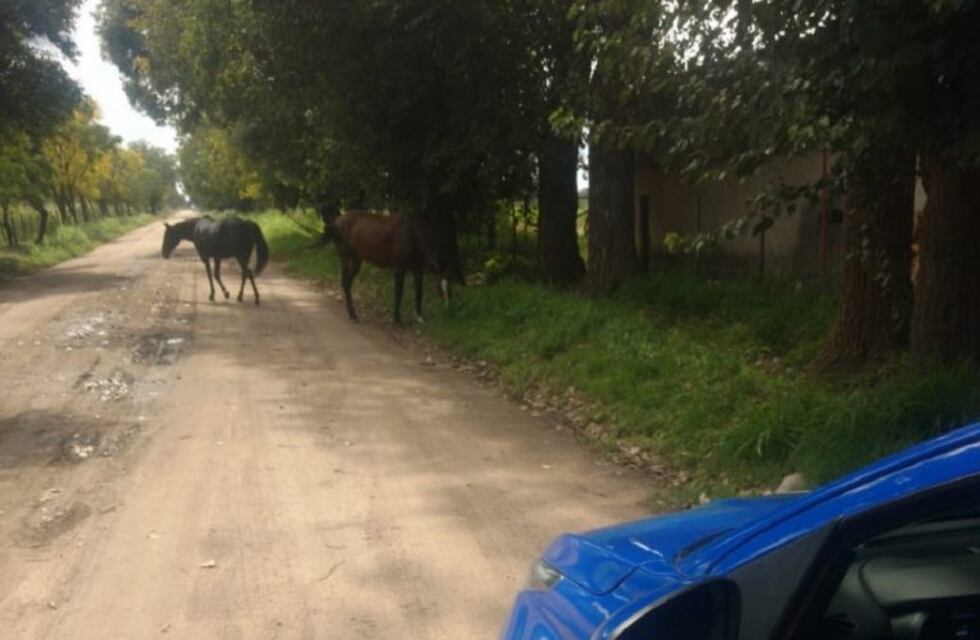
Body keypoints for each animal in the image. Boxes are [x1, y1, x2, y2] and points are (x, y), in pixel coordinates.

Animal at [325, 210, 463, 323]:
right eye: (439, 289)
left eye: (450, 289)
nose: (448, 310)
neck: (413, 236)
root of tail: (337, 221)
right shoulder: (400, 268)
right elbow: (399, 292)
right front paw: (397, 320)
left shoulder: (418, 270)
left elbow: (419, 292)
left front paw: (419, 317)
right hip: (345, 255)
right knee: (345, 281)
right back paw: (352, 315)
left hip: (356, 259)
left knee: (347, 282)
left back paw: (351, 313)